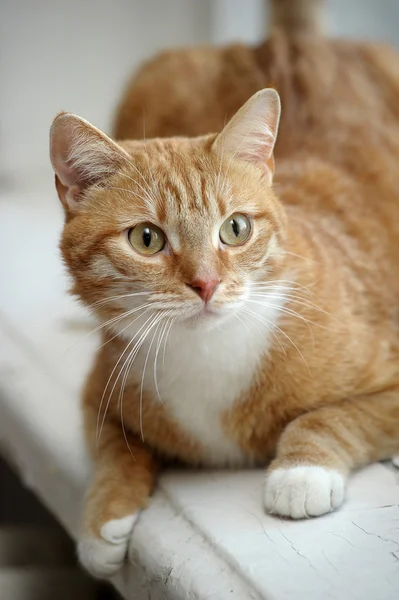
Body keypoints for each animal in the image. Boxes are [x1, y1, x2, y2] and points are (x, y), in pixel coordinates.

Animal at [49, 0, 399, 580]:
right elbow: (115, 449)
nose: (206, 283)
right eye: (146, 239)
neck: (208, 351)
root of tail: (285, 42)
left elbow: (334, 416)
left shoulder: (389, 382)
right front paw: (104, 519)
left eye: (235, 229)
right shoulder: (97, 394)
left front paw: (300, 472)